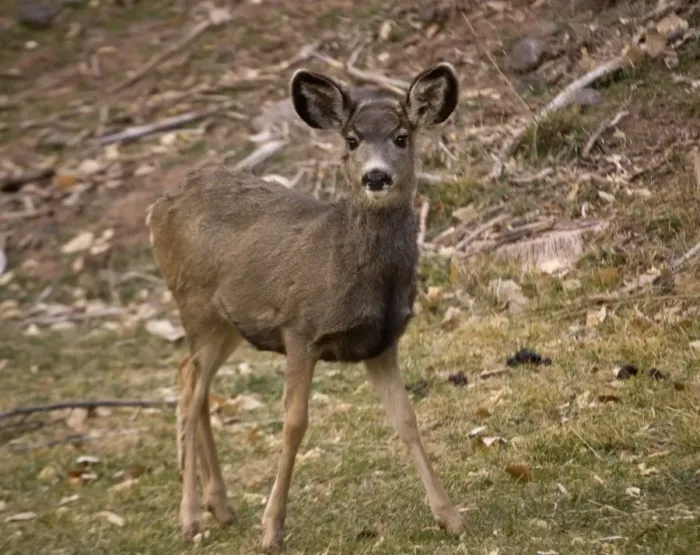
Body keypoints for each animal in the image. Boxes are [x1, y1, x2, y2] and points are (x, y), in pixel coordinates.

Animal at [146, 61, 464, 552]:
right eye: (351, 140)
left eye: (402, 136)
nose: (376, 177)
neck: (349, 267)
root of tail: (157, 207)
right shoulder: (300, 329)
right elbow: (294, 422)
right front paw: (272, 528)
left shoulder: (382, 343)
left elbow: (407, 419)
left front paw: (449, 516)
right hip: (193, 303)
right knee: (190, 390)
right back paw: (192, 518)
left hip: (228, 323)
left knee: (191, 380)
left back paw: (221, 507)